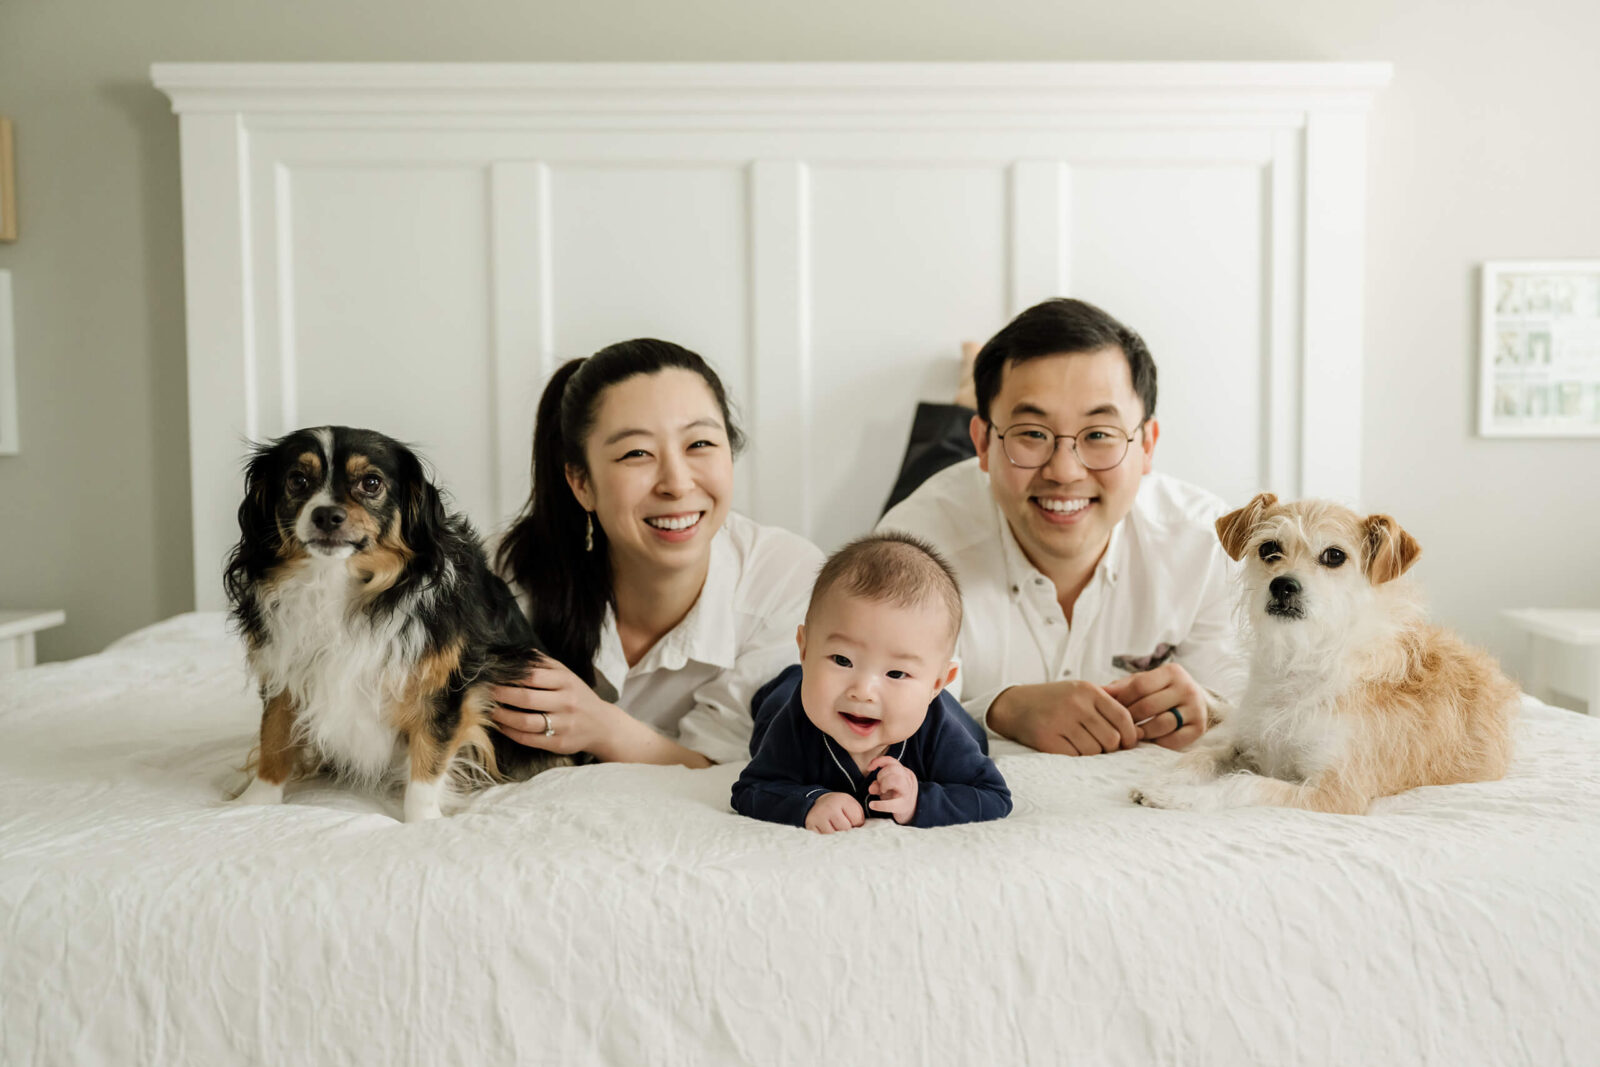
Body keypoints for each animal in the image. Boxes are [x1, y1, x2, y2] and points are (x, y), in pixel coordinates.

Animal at [1132, 495, 1516, 819]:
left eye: (1334, 556)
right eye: (1269, 549)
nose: (1282, 585)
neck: (1301, 661)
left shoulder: (1336, 793)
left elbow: (1242, 783)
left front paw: (1182, 797)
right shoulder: (1245, 744)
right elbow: (1202, 756)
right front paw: (1167, 781)